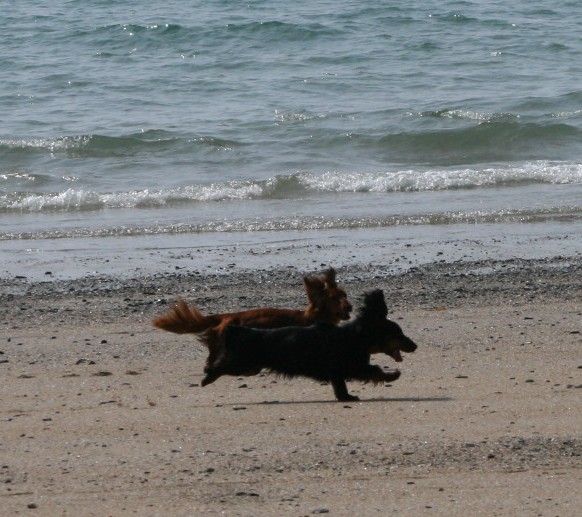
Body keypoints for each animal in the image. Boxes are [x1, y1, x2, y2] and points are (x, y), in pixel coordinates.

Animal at [203, 288, 418, 402]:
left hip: (249, 367)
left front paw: (346, 398)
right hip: (244, 365)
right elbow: (375, 370)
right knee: (218, 367)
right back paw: (207, 377)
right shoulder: (352, 366)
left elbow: (341, 387)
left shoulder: (339, 372)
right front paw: (392, 375)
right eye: (398, 334)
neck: (355, 336)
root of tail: (239, 330)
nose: (415, 346)